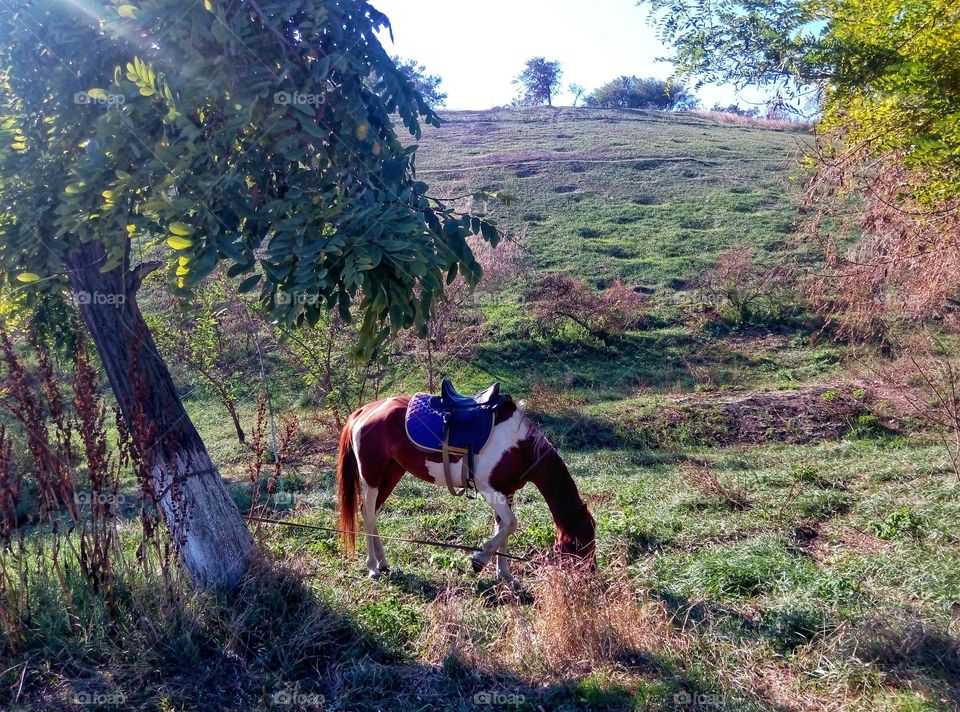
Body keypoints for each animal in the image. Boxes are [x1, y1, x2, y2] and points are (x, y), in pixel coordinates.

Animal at [336, 394, 595, 583]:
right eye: (581, 543)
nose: (589, 577)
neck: (521, 447)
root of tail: (364, 411)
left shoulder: (506, 491)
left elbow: (504, 529)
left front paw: (506, 575)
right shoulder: (489, 489)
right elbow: (511, 524)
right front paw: (479, 560)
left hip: (391, 474)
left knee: (372, 513)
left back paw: (382, 563)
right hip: (372, 476)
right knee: (368, 513)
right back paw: (372, 568)